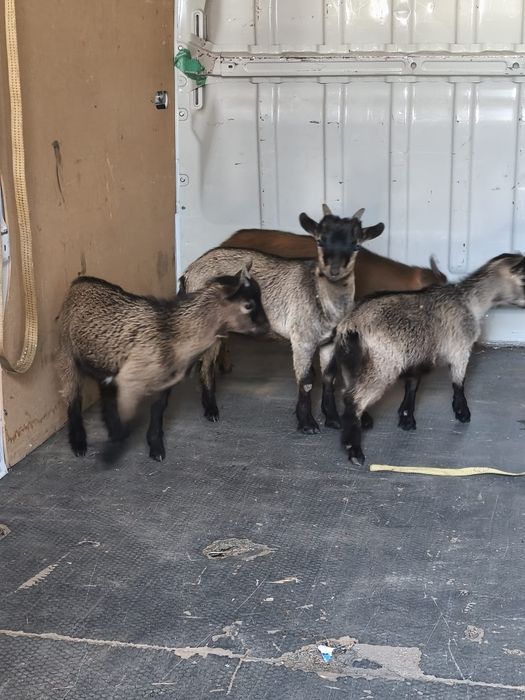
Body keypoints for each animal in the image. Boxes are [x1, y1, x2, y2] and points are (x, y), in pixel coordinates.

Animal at [55, 266, 268, 461]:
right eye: (248, 305)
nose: (266, 328)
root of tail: (79, 282)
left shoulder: (163, 382)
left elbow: (158, 410)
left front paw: (155, 447)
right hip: (67, 354)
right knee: (73, 398)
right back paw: (79, 443)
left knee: (104, 391)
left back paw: (112, 429)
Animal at [180, 206, 384, 433]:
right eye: (320, 241)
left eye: (356, 245)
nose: (334, 271)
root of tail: (189, 271)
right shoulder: (302, 340)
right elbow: (306, 380)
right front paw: (307, 423)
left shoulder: (329, 342)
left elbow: (329, 377)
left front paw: (332, 418)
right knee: (206, 365)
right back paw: (211, 411)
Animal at [335, 253, 525, 465]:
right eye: (524, 278)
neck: (469, 301)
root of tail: (351, 325)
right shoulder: (460, 348)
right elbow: (459, 382)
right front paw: (462, 412)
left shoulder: (416, 355)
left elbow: (412, 385)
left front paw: (406, 418)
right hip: (382, 364)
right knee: (354, 398)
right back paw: (354, 450)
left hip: (351, 362)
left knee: (347, 390)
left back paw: (364, 420)